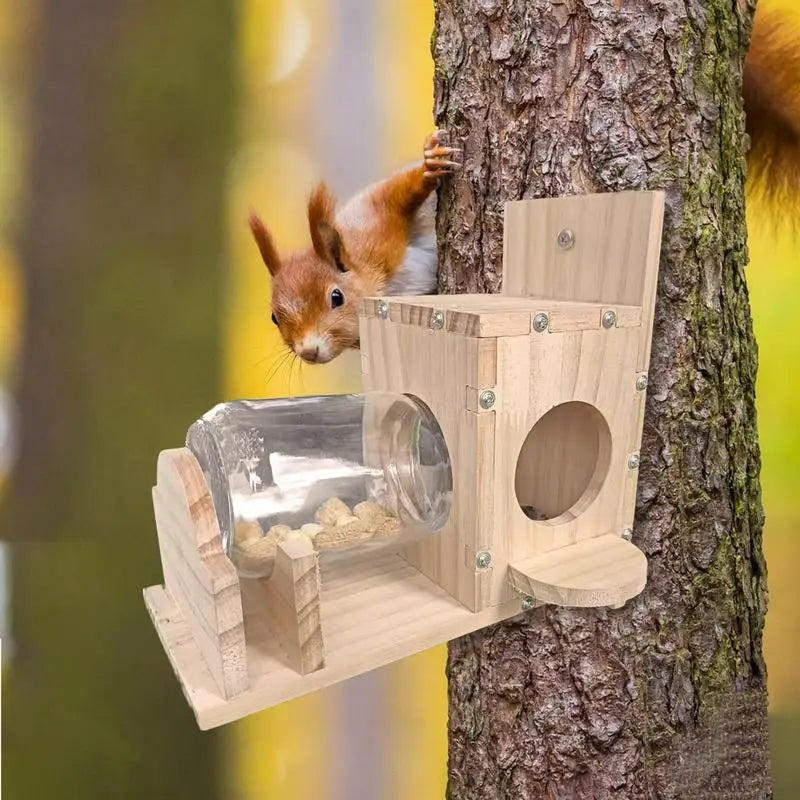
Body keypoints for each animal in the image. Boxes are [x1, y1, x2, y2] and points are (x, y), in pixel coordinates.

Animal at [250, 5, 800, 366]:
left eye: (336, 297)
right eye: (275, 319)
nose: (309, 352)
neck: (371, 280)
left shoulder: (374, 231)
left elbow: (397, 194)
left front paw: (430, 164)